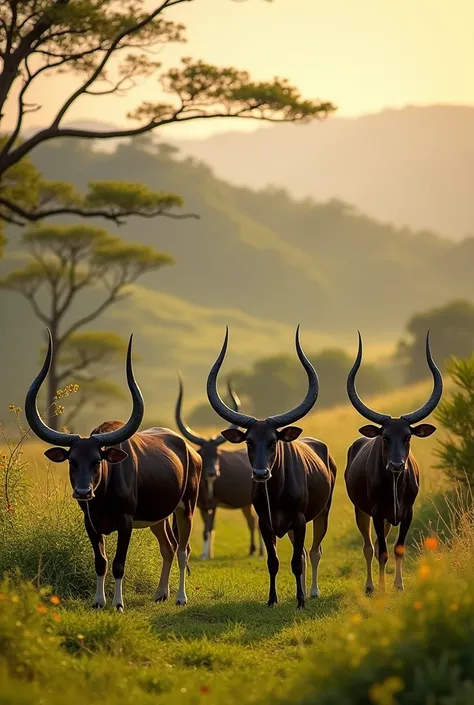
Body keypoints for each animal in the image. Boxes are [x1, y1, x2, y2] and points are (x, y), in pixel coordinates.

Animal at [24, 332, 202, 608]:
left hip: (187, 508)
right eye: (72, 461)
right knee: (168, 547)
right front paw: (99, 601)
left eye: (98, 461)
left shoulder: (125, 523)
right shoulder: (91, 524)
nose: (83, 492)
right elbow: (101, 562)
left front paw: (118, 603)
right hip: (158, 518)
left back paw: (180, 597)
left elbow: (119, 564)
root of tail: (190, 451)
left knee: (183, 550)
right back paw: (161, 593)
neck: (104, 494)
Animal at [174, 374, 262, 560]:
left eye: (217, 454)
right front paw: (206, 554)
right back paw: (252, 550)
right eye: (203, 454)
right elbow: (207, 530)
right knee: (252, 521)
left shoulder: (213, 504)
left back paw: (260, 553)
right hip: (245, 504)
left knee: (258, 522)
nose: (213, 473)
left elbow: (210, 527)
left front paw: (207, 555)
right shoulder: (202, 506)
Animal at [206, 324, 336, 604]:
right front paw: (272, 600)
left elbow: (297, 561)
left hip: (322, 513)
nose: (260, 473)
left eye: (273, 441)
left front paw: (300, 601)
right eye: (249, 441)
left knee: (314, 552)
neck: (275, 494)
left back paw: (312, 592)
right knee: (305, 554)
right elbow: (273, 562)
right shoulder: (266, 523)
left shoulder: (299, 520)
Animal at [342, 330, 442, 592]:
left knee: (379, 544)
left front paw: (399, 585)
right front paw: (382, 588)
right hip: (361, 511)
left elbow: (397, 548)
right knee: (369, 547)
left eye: (408, 436)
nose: (396, 465)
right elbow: (381, 552)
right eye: (385, 437)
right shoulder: (377, 513)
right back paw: (369, 585)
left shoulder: (407, 514)